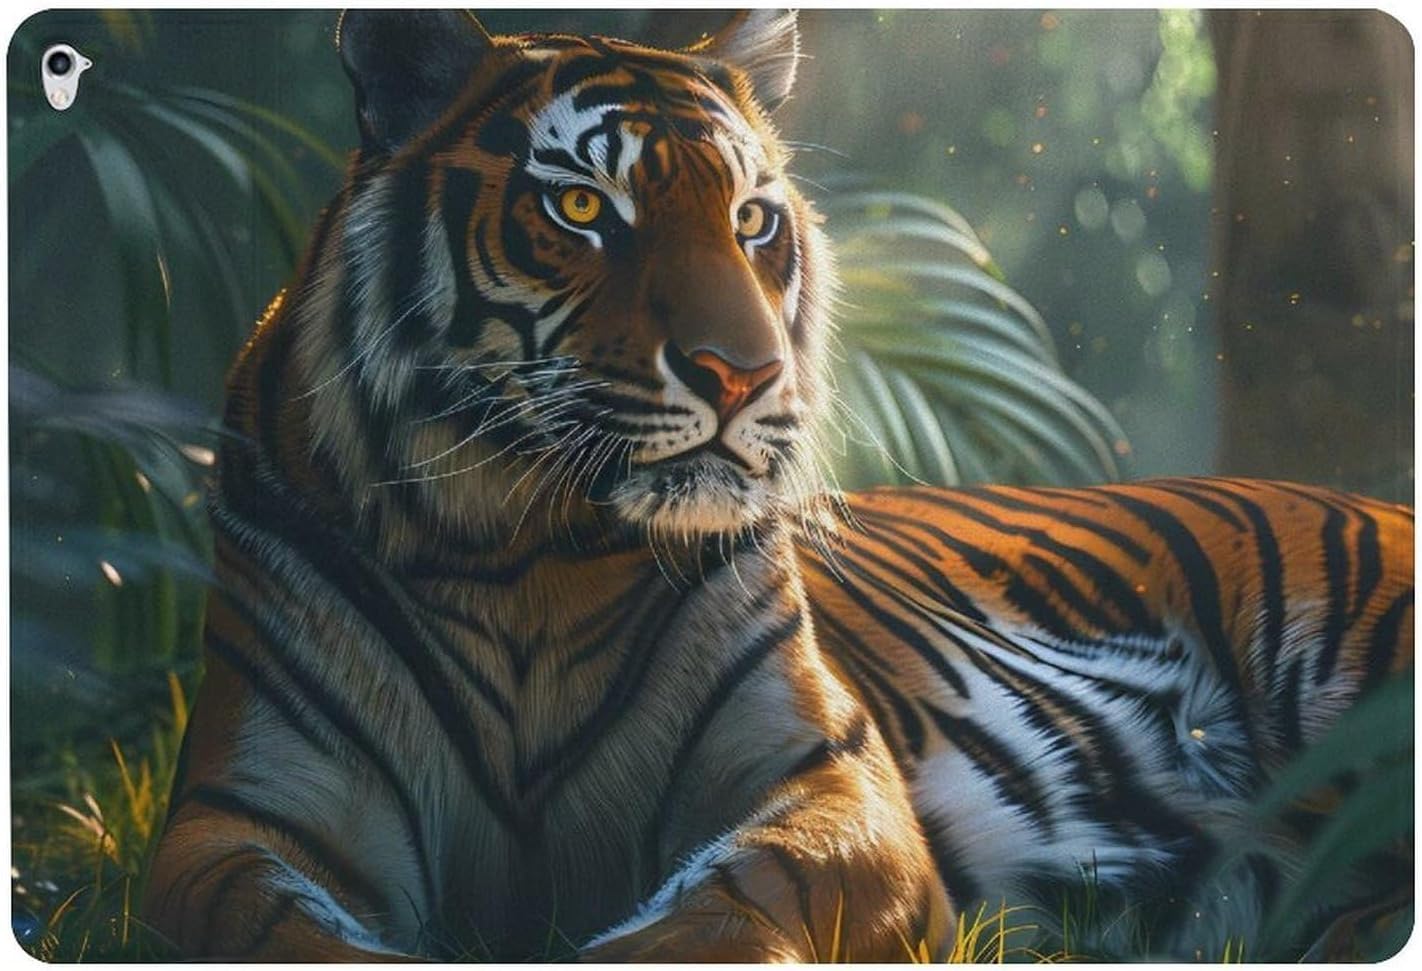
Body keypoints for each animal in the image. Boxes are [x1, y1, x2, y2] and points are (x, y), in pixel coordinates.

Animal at [141, 9, 1413, 962]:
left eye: (752, 219)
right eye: (582, 206)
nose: (744, 374)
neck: (526, 547)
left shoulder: (830, 776)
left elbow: (739, 897)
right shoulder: (240, 813)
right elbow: (267, 925)